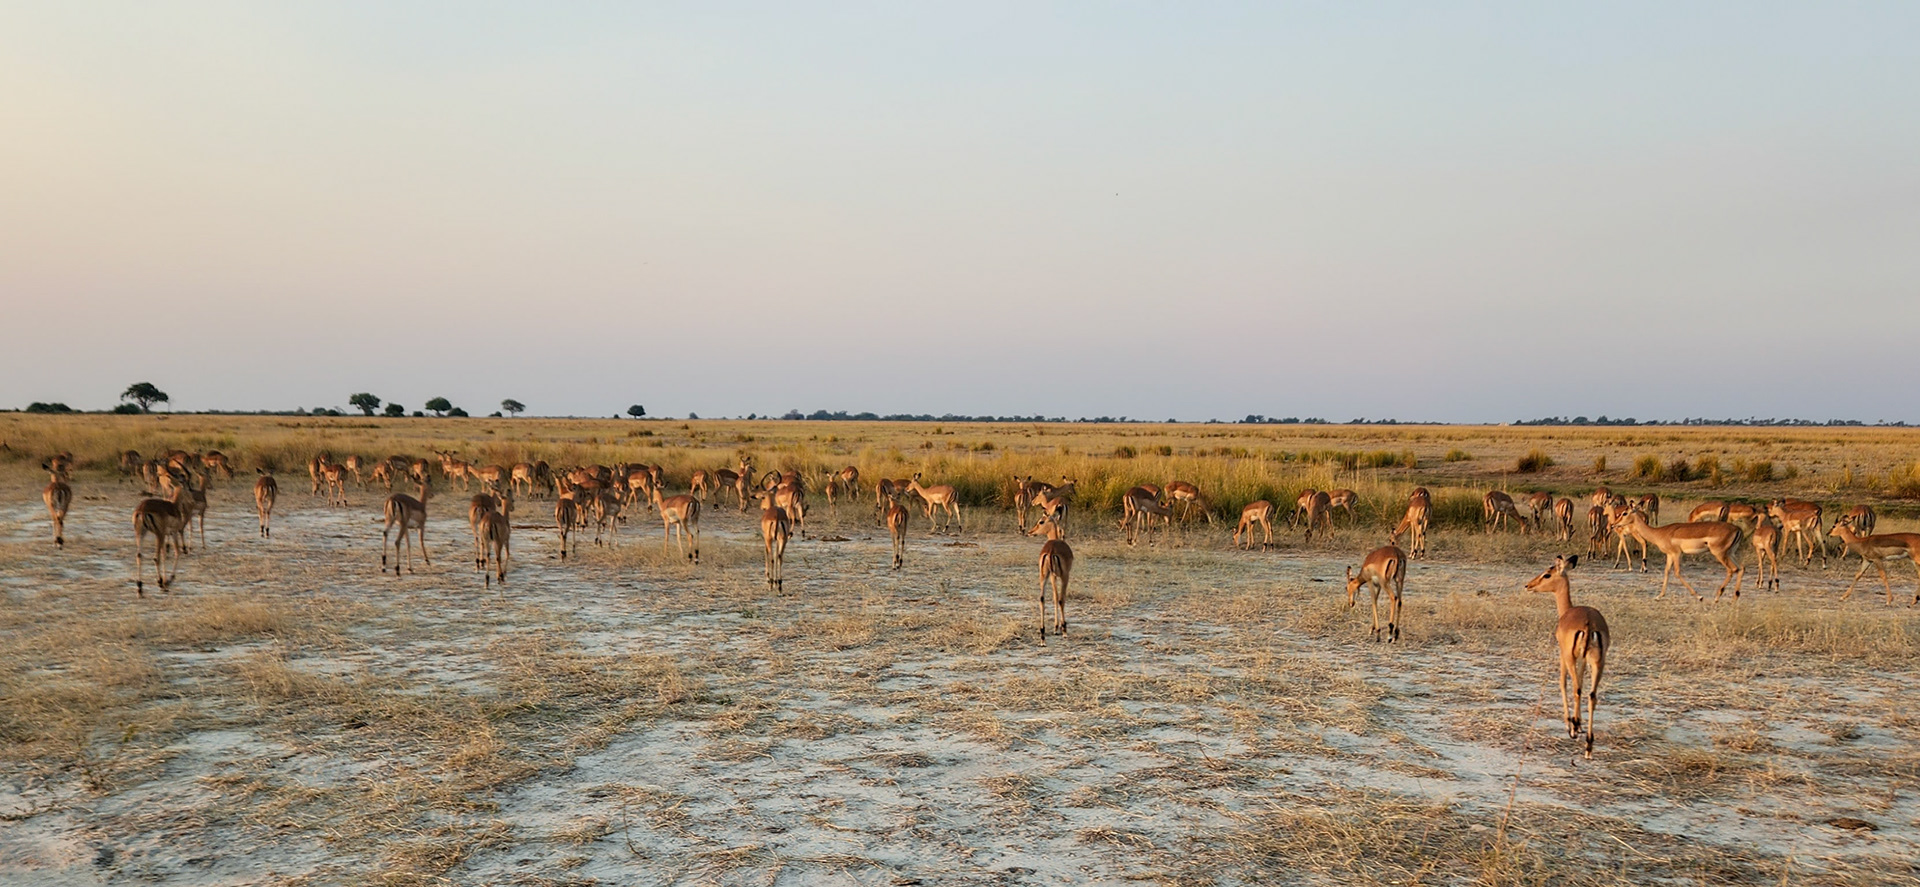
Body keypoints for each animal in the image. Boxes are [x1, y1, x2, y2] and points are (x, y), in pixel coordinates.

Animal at [1026, 510, 1073, 640]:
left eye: (1041, 521)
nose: (1030, 532)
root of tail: (1051, 550)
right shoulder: (1063, 576)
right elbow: (1060, 598)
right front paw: (1059, 628)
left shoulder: (1053, 576)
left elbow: (1054, 597)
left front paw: (1055, 628)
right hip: (1064, 576)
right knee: (1061, 599)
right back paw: (1064, 630)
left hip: (1044, 576)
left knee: (1041, 598)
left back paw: (1042, 634)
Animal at [1525, 555, 1608, 759]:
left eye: (1547, 574)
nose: (1529, 585)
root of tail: (1589, 623)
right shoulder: (1583, 660)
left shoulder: (1563, 655)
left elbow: (1562, 683)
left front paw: (1570, 724)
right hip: (1598, 662)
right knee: (1592, 694)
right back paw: (1588, 746)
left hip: (1570, 658)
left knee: (1576, 689)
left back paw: (1575, 730)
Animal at [1610, 510, 1745, 601]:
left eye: (1625, 513)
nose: (1613, 524)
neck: (1659, 533)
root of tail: (1738, 529)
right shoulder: (1670, 555)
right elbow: (1667, 571)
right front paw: (1659, 596)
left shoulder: (1676, 553)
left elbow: (1677, 572)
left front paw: (1699, 597)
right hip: (1730, 553)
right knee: (1741, 568)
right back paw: (1735, 597)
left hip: (1719, 554)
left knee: (1732, 569)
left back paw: (1717, 597)